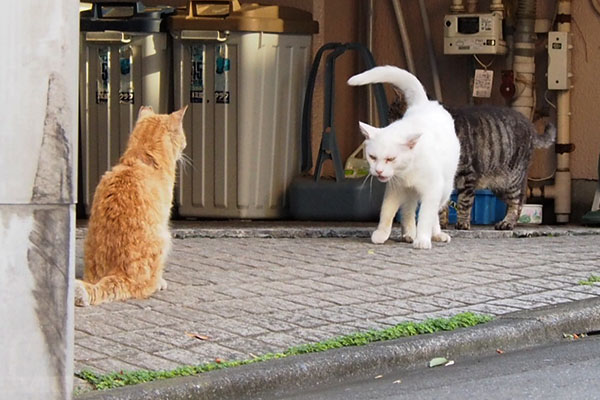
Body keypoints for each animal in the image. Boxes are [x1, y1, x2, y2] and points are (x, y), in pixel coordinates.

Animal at [346, 67, 460, 252]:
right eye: (372, 157)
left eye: (391, 159)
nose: (378, 170)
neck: (406, 171)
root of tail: (425, 104)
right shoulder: (394, 189)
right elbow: (387, 212)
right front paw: (382, 233)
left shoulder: (432, 190)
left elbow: (426, 216)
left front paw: (423, 239)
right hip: (410, 193)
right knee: (408, 210)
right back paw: (409, 233)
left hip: (445, 189)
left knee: (434, 212)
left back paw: (435, 234)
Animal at [392, 96, 556, 231]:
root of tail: (530, 126)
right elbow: (441, 204)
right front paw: (441, 223)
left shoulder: (467, 174)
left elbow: (464, 201)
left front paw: (462, 223)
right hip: (499, 186)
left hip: (511, 180)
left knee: (517, 202)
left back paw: (507, 223)